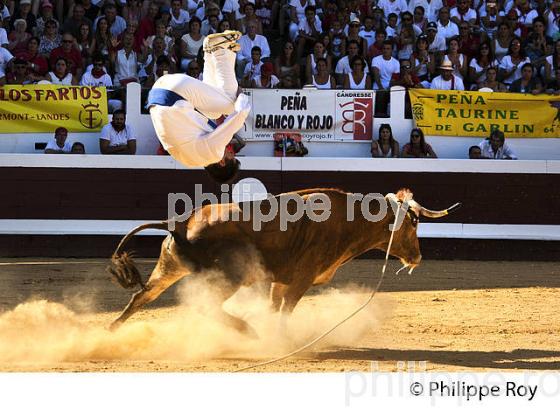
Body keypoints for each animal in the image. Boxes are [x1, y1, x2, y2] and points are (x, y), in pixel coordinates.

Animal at [108, 187, 460, 334]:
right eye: (413, 224)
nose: (417, 256)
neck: (348, 220)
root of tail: (180, 223)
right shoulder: (300, 280)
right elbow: (285, 311)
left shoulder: (279, 280)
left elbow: (273, 307)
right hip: (229, 277)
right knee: (206, 305)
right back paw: (247, 331)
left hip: (169, 267)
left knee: (141, 297)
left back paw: (110, 331)